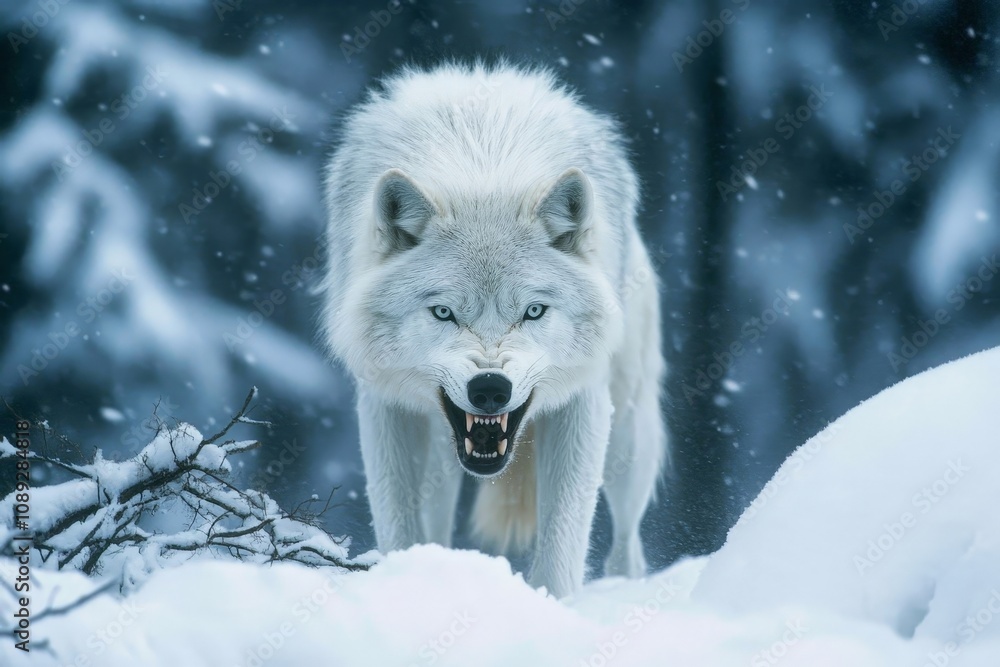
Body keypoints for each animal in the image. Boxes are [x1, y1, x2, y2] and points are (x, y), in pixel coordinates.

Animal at [321, 62, 667, 598]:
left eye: (533, 311)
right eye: (444, 313)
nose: (489, 388)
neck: (482, 163)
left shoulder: (584, 401)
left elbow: (562, 544)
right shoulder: (383, 406)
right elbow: (399, 525)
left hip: (629, 434)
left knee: (628, 543)